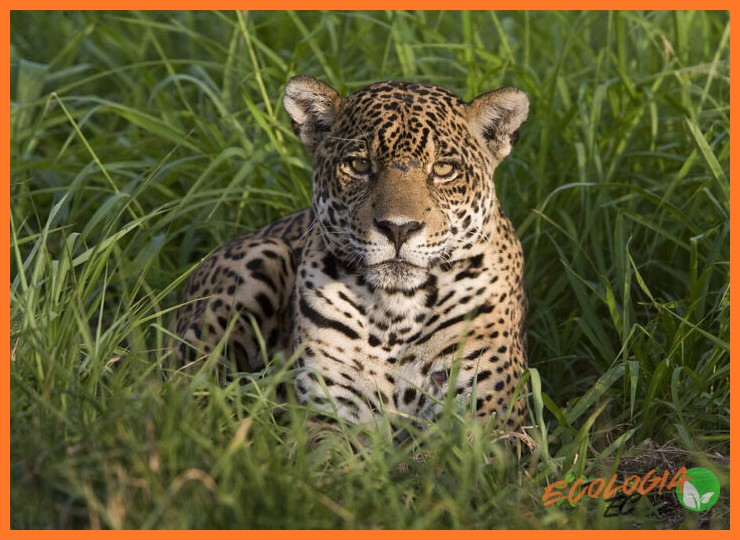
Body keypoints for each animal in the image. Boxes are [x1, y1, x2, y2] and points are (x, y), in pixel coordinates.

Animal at [169, 75, 530, 430]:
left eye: (443, 169)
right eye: (358, 165)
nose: (398, 228)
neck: (396, 312)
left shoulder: (493, 422)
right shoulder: (331, 416)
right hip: (261, 257)